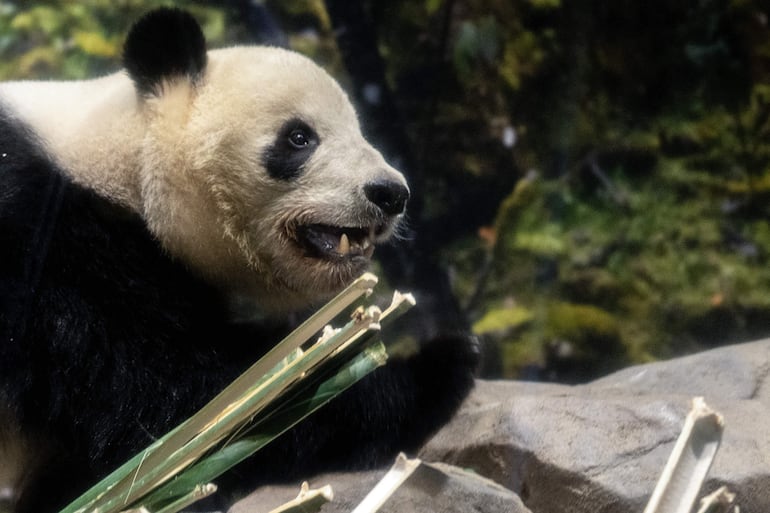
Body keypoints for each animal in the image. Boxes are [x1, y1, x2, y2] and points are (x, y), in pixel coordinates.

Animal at [0, 8, 477, 513]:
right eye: (299, 137)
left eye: (361, 131)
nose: (391, 193)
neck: (116, 157)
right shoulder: (47, 243)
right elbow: (182, 402)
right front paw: (433, 367)